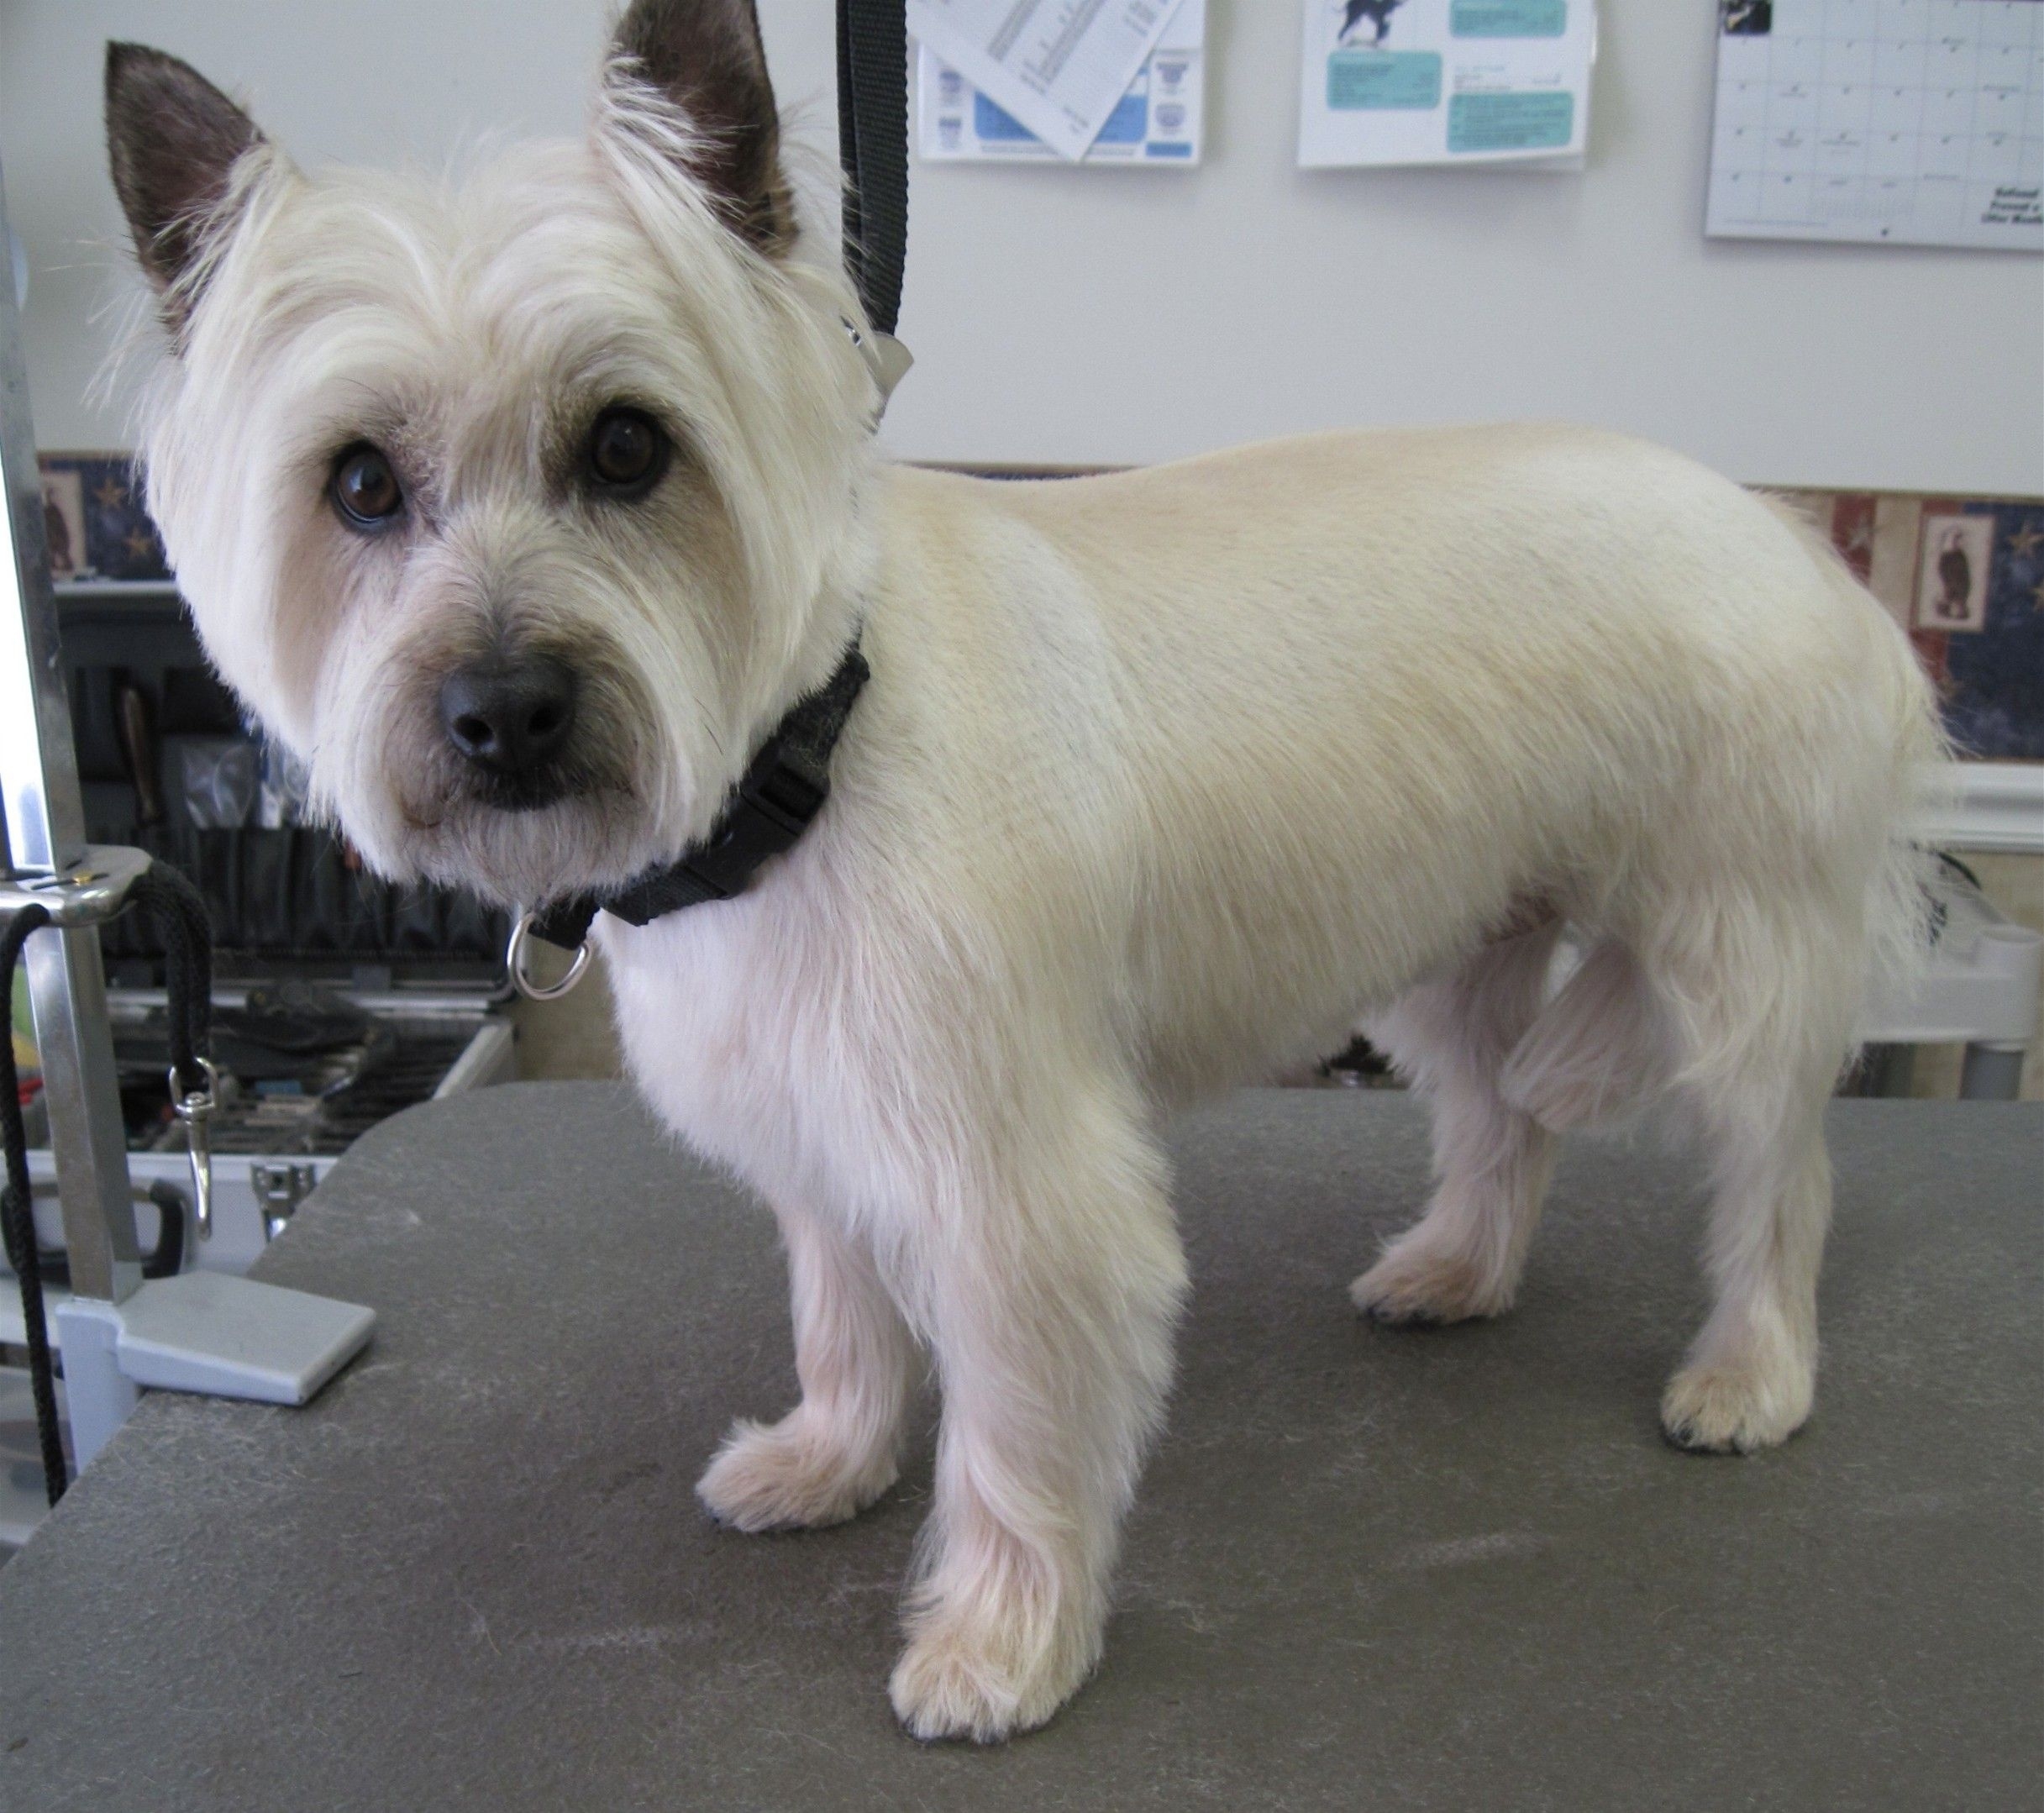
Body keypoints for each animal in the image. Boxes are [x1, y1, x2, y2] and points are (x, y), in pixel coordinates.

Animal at [103, 3, 1937, 1741]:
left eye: (627, 447)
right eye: (357, 482)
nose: (503, 712)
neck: (809, 760)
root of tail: (1804, 549)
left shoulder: (1019, 1190)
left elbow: (1017, 1437)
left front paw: (1000, 1644)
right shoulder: (821, 1133)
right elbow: (840, 1322)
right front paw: (828, 1460)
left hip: (1735, 952)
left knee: (1779, 1177)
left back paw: (1747, 1373)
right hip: (1456, 944)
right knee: (1504, 1114)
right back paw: (1456, 1272)